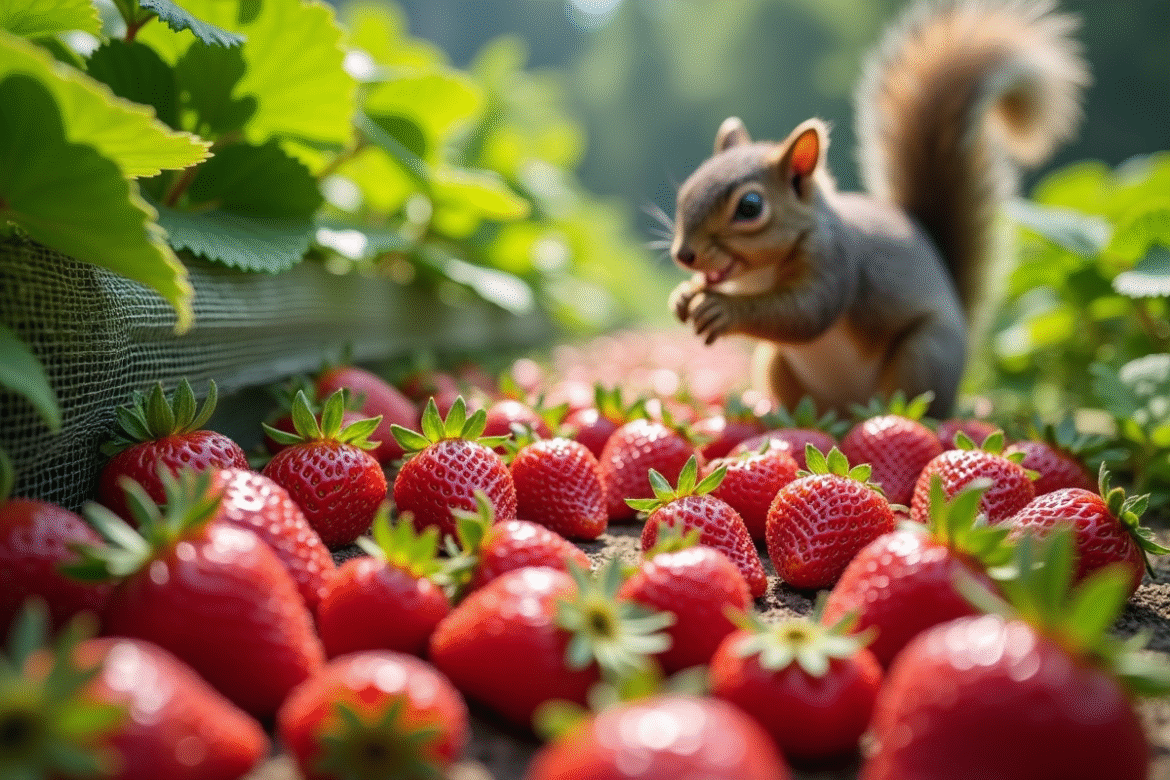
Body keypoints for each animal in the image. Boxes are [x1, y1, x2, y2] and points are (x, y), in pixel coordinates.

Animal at [668, 0, 1089, 418]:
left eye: (750, 206)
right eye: (686, 188)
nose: (684, 255)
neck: (757, 276)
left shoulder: (835, 262)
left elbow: (805, 314)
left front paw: (724, 309)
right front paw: (684, 295)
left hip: (924, 357)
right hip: (774, 364)